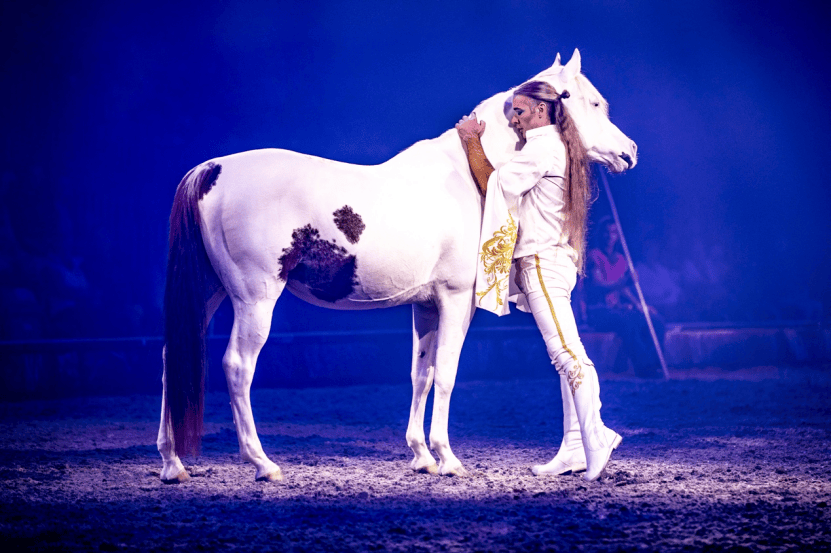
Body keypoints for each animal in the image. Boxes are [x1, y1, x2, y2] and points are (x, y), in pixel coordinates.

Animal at [157, 49, 638, 483]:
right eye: (593, 102)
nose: (629, 151)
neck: (466, 175)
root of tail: (211, 170)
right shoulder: (456, 300)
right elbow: (446, 374)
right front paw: (448, 458)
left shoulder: (425, 305)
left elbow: (421, 374)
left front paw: (422, 456)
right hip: (255, 299)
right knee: (238, 366)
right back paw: (263, 464)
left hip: (209, 292)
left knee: (172, 356)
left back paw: (173, 464)